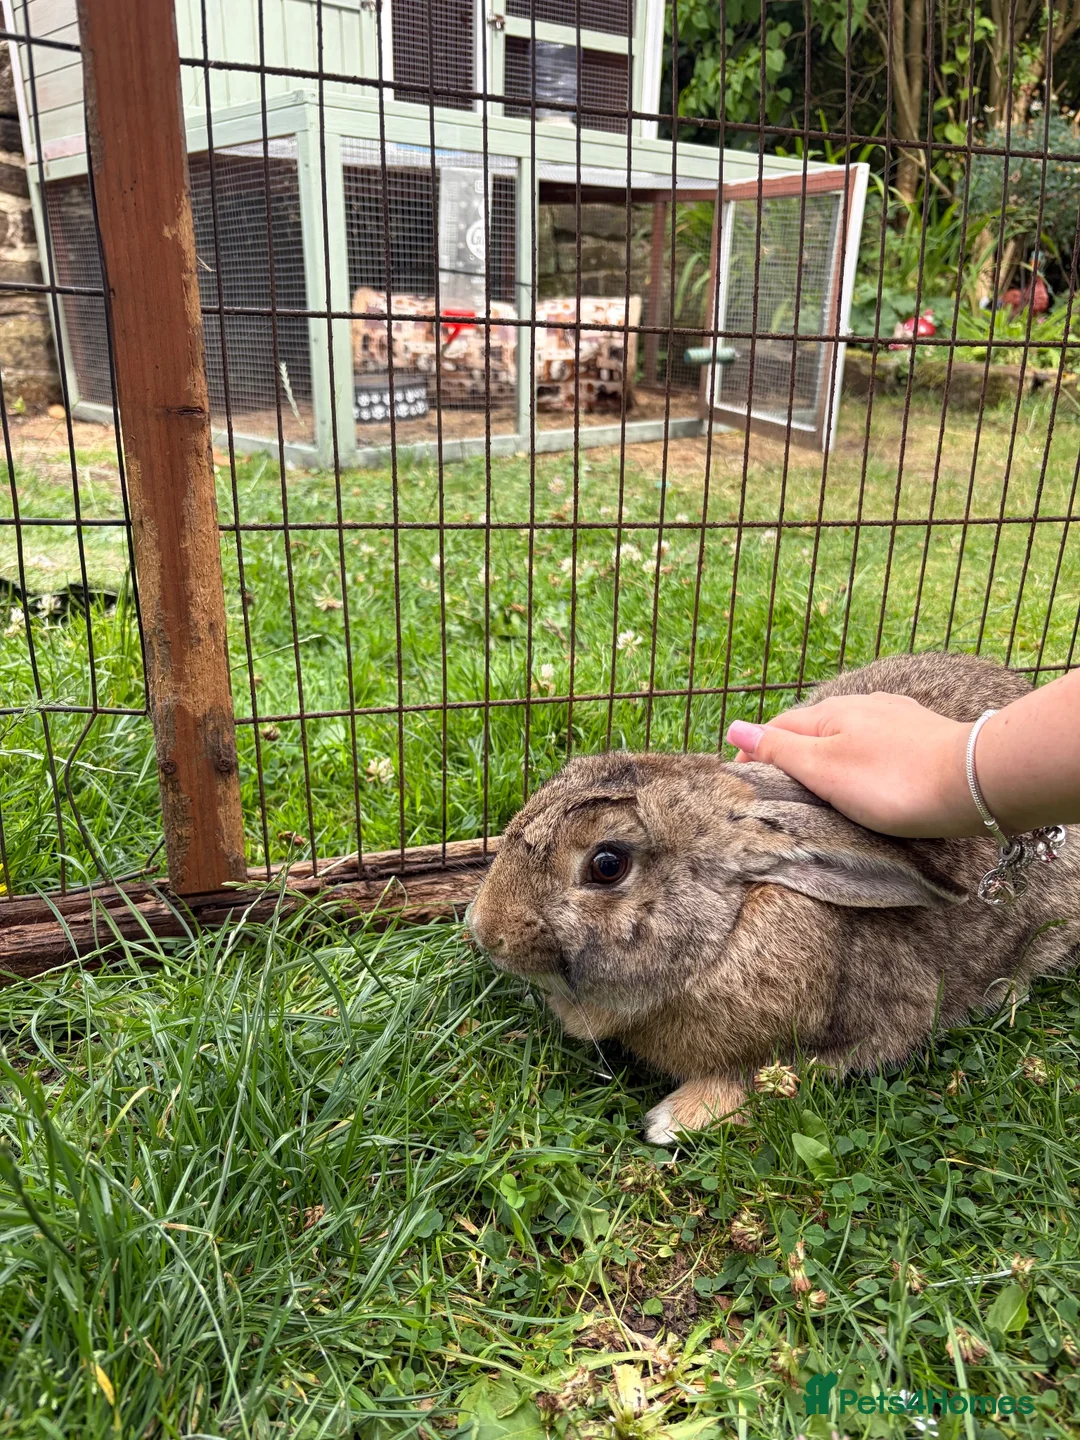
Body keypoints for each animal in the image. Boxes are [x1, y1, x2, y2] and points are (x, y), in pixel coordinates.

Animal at [468, 651, 1080, 1143]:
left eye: (607, 864)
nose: (484, 930)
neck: (726, 934)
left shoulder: (874, 1029)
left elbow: (768, 1075)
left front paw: (678, 1118)